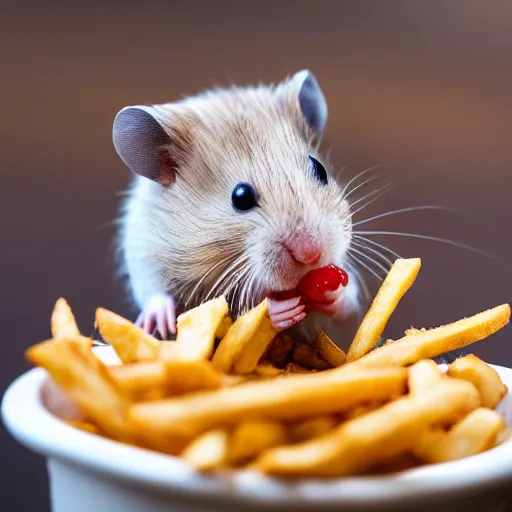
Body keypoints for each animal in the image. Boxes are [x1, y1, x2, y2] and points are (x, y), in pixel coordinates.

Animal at [113, 71, 360, 348]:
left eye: (320, 169)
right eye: (240, 197)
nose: (311, 256)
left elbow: (348, 304)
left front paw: (334, 293)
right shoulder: (141, 247)